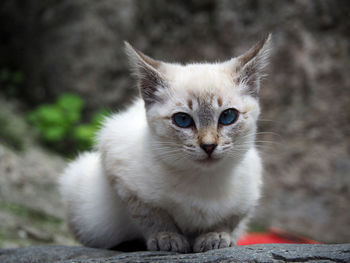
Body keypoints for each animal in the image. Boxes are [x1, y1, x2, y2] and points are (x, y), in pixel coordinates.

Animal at [58, 35, 270, 254]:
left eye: (228, 116)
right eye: (182, 120)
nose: (209, 146)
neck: (202, 180)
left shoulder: (247, 197)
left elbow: (228, 221)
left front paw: (216, 237)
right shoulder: (120, 174)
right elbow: (153, 216)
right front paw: (166, 238)